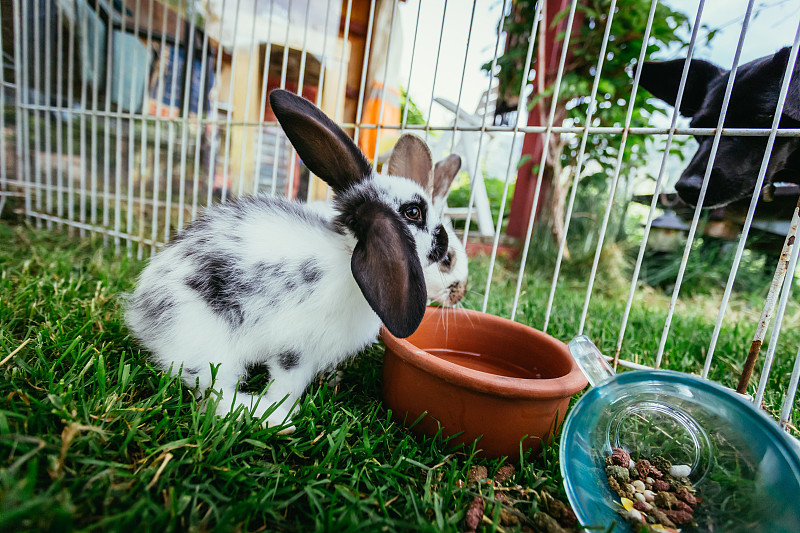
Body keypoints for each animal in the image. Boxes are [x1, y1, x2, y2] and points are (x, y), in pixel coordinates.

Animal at [126, 90, 450, 432]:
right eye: (413, 213)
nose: (444, 241)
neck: (347, 254)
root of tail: (141, 314)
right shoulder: (296, 350)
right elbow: (287, 384)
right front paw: (282, 408)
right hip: (209, 345)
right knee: (213, 391)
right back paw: (266, 417)